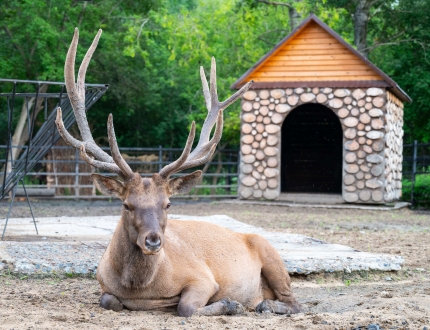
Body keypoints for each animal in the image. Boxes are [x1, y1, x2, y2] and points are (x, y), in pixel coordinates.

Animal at [55, 28, 300, 318]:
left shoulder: (203, 278)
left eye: (168, 204)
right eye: (126, 205)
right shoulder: (103, 284)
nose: (152, 241)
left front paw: (231, 304)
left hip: (271, 253)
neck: (142, 289)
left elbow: (186, 307)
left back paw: (263, 304)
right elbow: (109, 300)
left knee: (295, 302)